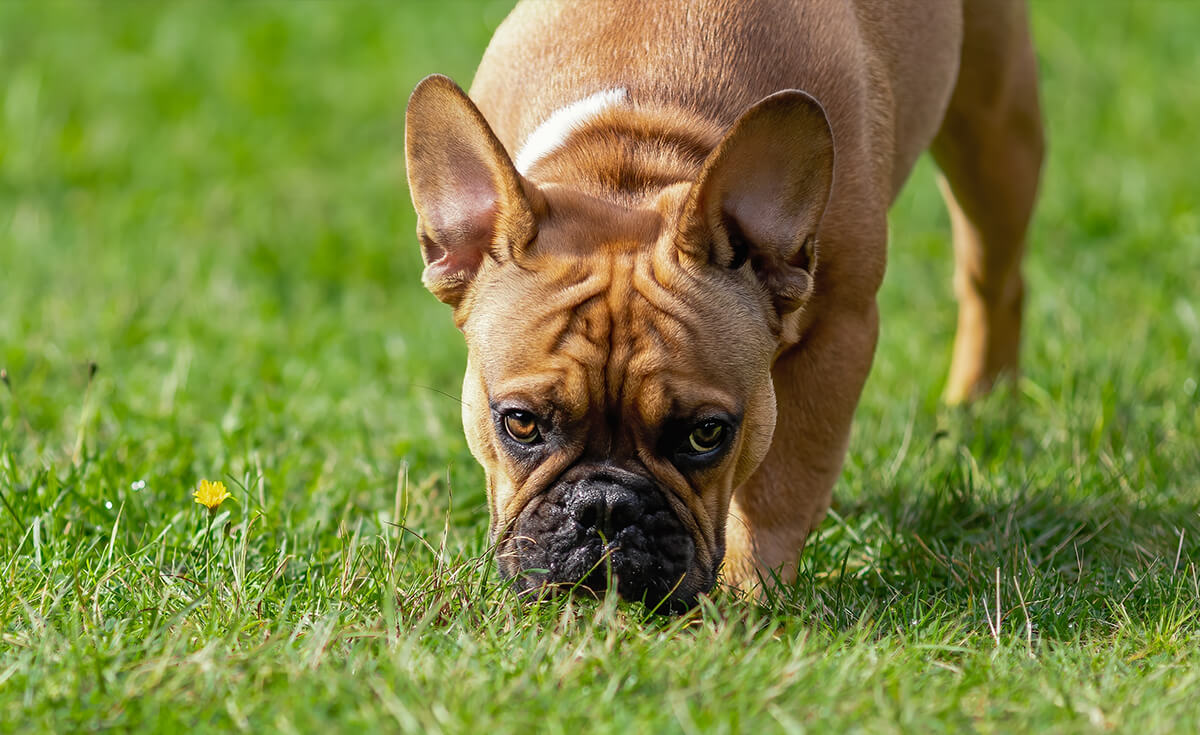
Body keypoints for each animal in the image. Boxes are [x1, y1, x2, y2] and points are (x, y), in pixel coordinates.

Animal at [403, 0, 1041, 607]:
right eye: (520, 423)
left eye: (706, 435)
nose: (604, 506)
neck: (632, 156)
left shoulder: (841, 330)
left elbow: (783, 484)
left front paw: (749, 597)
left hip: (994, 130)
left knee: (992, 276)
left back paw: (982, 399)